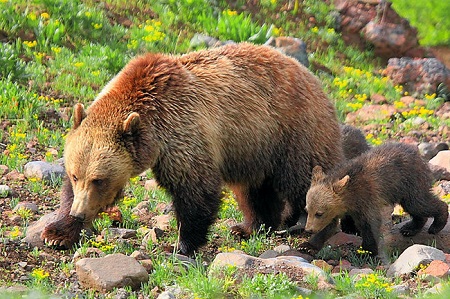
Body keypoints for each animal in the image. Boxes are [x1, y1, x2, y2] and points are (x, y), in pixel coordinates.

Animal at [43, 42, 344, 255]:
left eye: (99, 179)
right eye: (76, 175)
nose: (80, 212)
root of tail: (316, 81)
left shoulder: (183, 133)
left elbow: (194, 190)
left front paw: (180, 244)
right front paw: (58, 233)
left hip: (293, 133)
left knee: (305, 180)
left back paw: (308, 232)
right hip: (254, 149)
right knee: (254, 190)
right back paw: (250, 227)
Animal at [304, 142, 448, 256]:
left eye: (319, 213)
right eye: (307, 210)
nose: (308, 229)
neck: (350, 199)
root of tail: (417, 154)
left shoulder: (366, 198)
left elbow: (369, 224)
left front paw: (366, 252)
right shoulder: (338, 209)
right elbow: (328, 226)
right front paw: (308, 246)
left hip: (409, 182)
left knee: (419, 204)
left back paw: (436, 224)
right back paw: (410, 228)